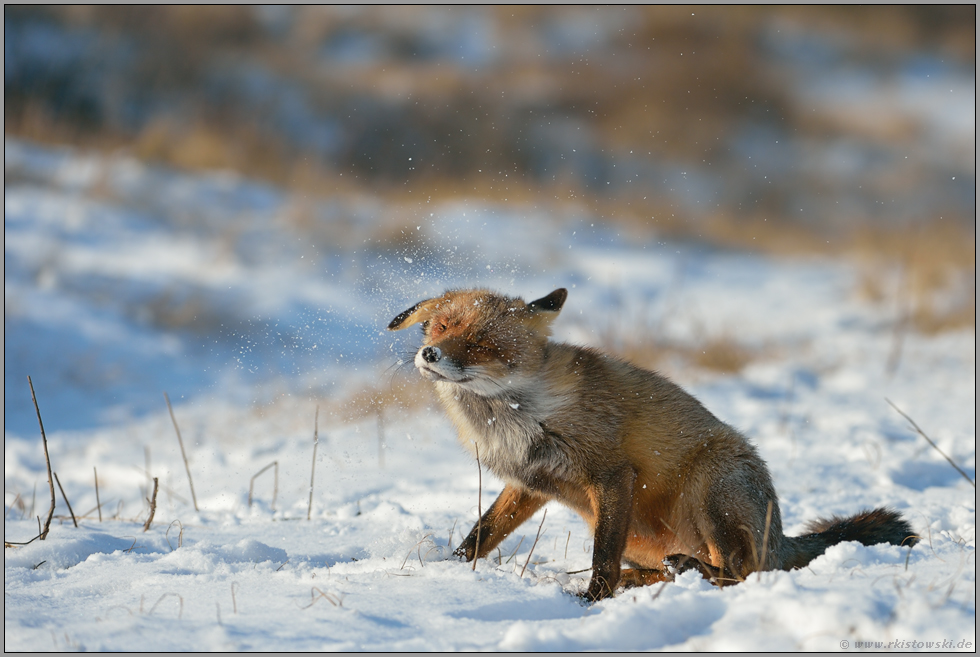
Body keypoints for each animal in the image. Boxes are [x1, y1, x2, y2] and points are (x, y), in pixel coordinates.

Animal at [386, 288, 916, 600]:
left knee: (743, 571)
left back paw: (684, 572)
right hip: (641, 535)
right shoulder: (530, 483)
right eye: (441, 327)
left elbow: (601, 557)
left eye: (482, 344)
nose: (429, 354)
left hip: (711, 490)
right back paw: (651, 576)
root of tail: (780, 536)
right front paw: (448, 569)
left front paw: (592, 600)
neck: (518, 412)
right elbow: (479, 535)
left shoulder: (612, 475)